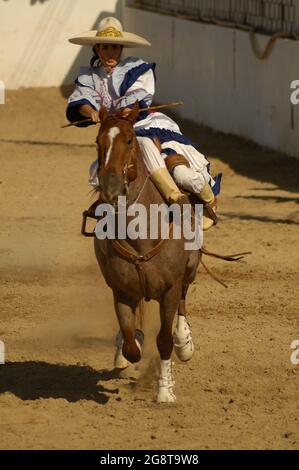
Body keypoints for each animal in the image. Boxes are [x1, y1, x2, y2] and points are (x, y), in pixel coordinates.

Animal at [92, 103, 199, 404]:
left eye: (129, 140)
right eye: (98, 142)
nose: (111, 187)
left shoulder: (170, 289)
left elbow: (163, 340)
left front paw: (165, 391)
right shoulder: (120, 289)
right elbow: (131, 343)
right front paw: (127, 349)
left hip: (189, 270)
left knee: (183, 302)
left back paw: (184, 344)